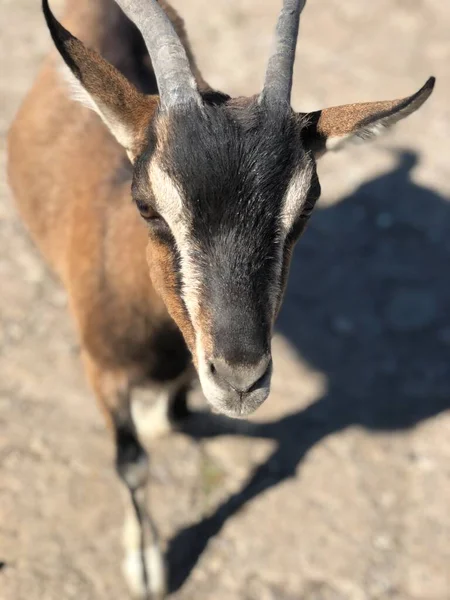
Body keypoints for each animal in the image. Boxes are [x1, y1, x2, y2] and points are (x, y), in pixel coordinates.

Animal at [8, 1, 434, 596]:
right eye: (146, 205)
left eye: (306, 206)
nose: (240, 378)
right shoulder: (102, 370)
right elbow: (132, 461)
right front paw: (146, 564)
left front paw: (169, 415)